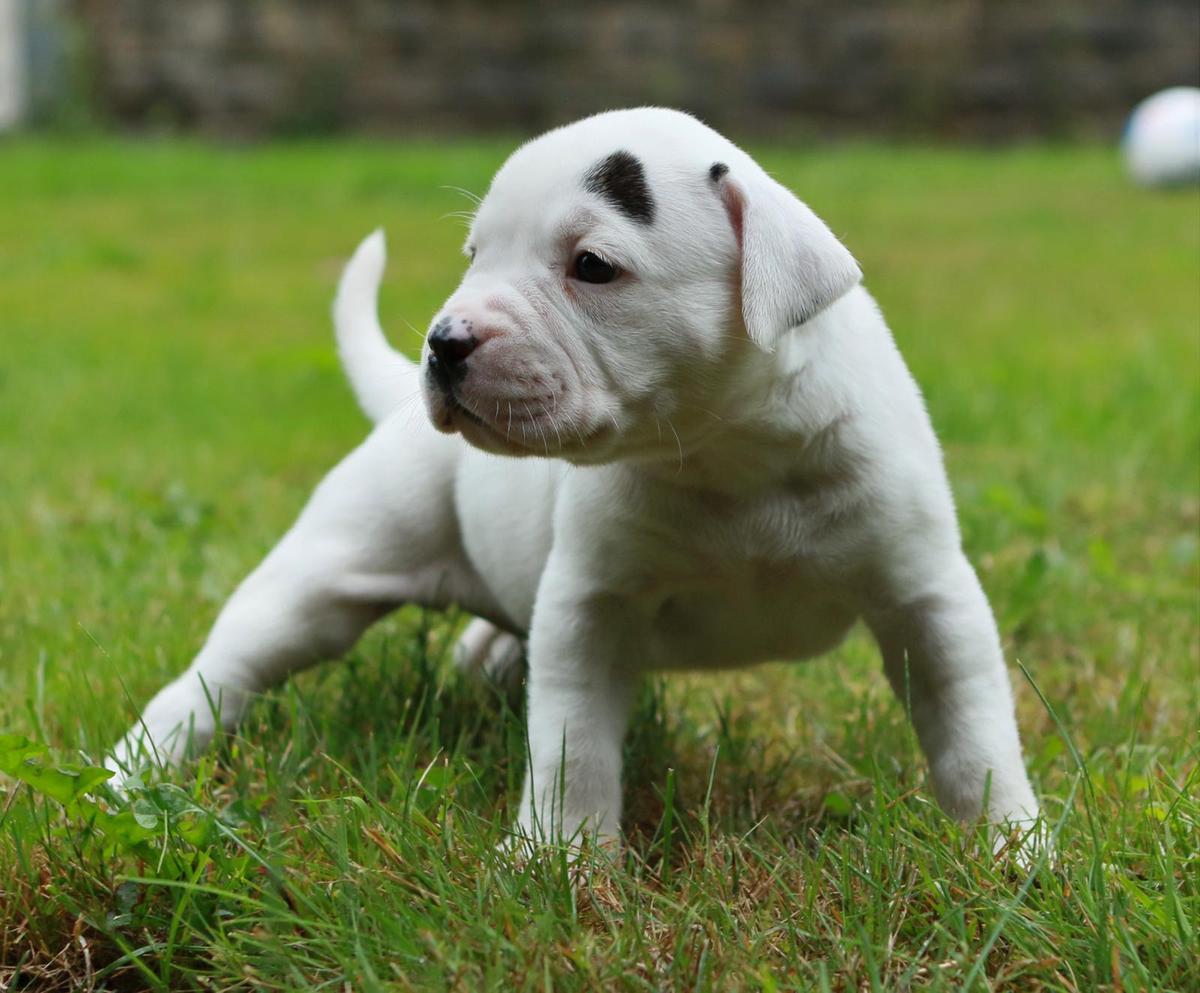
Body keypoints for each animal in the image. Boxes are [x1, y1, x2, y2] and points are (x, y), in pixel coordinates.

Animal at [110, 108, 1041, 849]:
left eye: (592, 265)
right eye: (474, 253)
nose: (443, 341)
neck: (724, 450)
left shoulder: (927, 595)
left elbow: (971, 729)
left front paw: (1009, 851)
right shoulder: (590, 607)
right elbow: (574, 745)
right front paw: (559, 862)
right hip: (322, 573)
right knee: (218, 676)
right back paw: (132, 774)